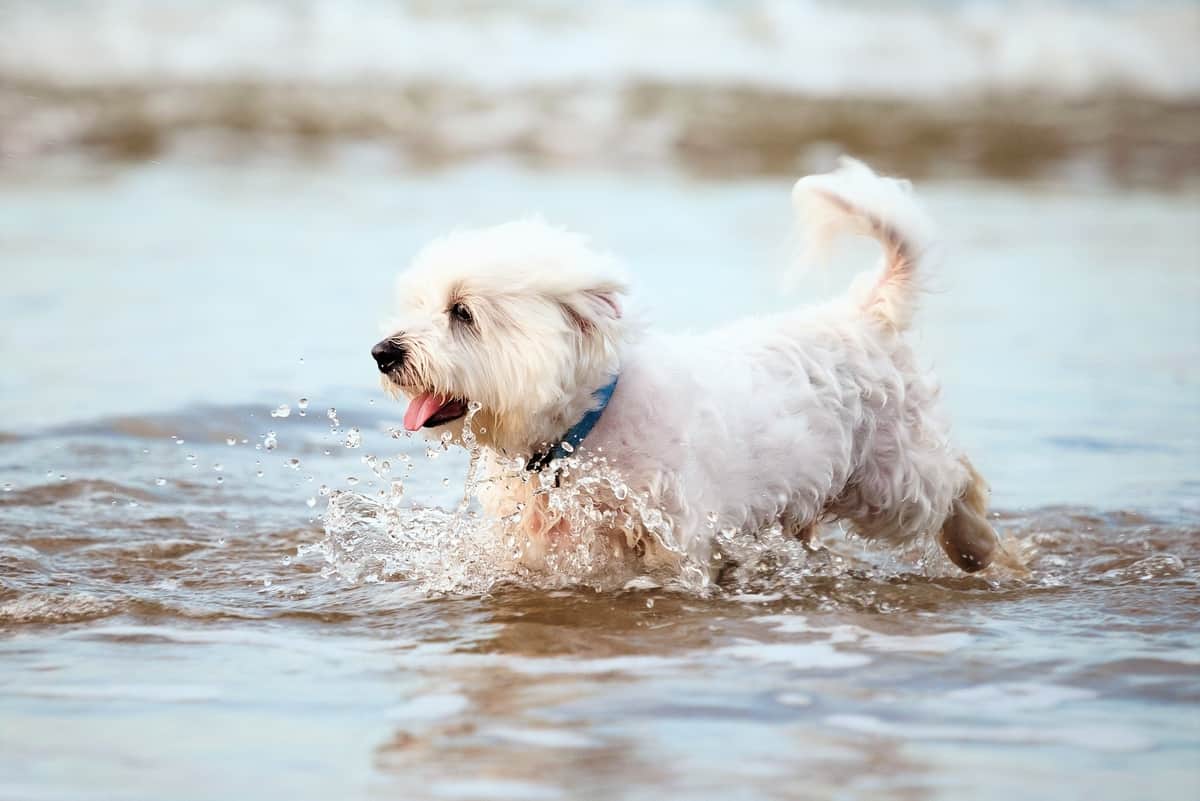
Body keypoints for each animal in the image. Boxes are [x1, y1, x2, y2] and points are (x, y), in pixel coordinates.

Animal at [369, 158, 998, 582]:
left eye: (462, 312)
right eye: (417, 304)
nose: (383, 352)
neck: (578, 436)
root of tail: (865, 314)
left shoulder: (673, 532)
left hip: (890, 479)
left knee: (954, 480)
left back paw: (979, 546)